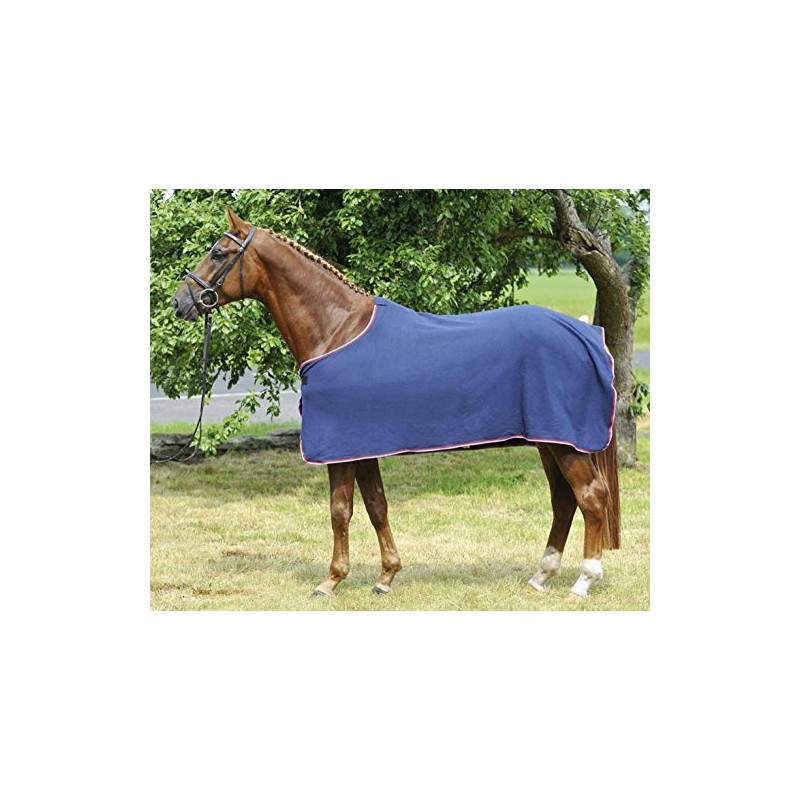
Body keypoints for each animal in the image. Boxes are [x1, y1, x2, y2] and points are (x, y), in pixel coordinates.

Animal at [170, 206, 621, 599]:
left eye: (218, 252)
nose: (180, 301)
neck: (337, 329)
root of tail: (587, 335)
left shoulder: (340, 449)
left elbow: (340, 510)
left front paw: (330, 581)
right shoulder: (362, 446)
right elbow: (376, 506)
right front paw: (386, 576)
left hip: (565, 444)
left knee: (591, 497)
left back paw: (583, 581)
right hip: (550, 442)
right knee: (564, 501)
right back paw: (540, 577)